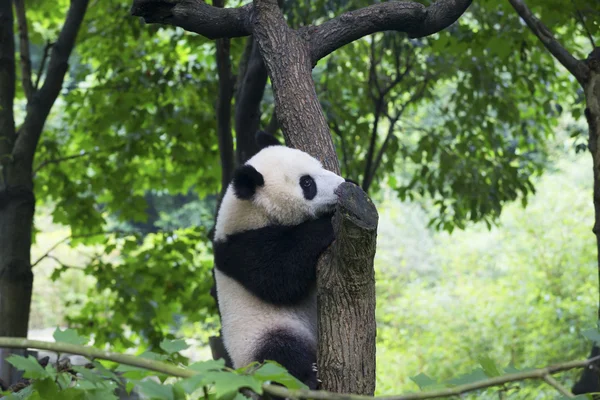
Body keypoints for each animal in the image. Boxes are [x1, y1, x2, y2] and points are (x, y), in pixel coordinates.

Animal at [214, 130, 346, 388]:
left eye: (319, 166)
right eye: (307, 183)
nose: (343, 186)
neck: (253, 211)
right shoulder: (241, 249)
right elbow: (279, 278)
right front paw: (326, 225)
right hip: (259, 336)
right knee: (280, 353)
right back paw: (308, 377)